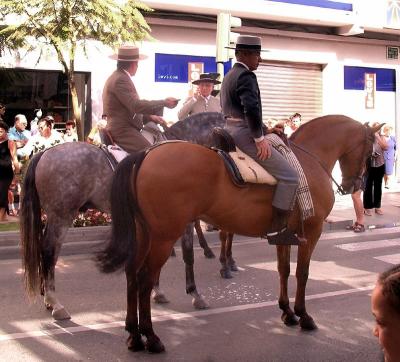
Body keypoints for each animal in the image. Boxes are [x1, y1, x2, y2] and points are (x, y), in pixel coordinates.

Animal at [20, 111, 225, 320]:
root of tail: (44, 153)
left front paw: (156, 291)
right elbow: (188, 255)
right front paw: (195, 294)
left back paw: (48, 299)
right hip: (61, 216)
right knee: (49, 251)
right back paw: (55, 303)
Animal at [96, 114, 378, 352]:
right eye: (370, 150)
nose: (354, 185)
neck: (309, 161)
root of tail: (146, 153)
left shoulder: (285, 236)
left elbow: (284, 270)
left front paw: (287, 312)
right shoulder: (312, 230)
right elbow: (302, 273)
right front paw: (303, 315)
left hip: (144, 235)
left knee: (132, 275)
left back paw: (134, 335)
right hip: (163, 237)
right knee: (145, 280)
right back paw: (151, 336)